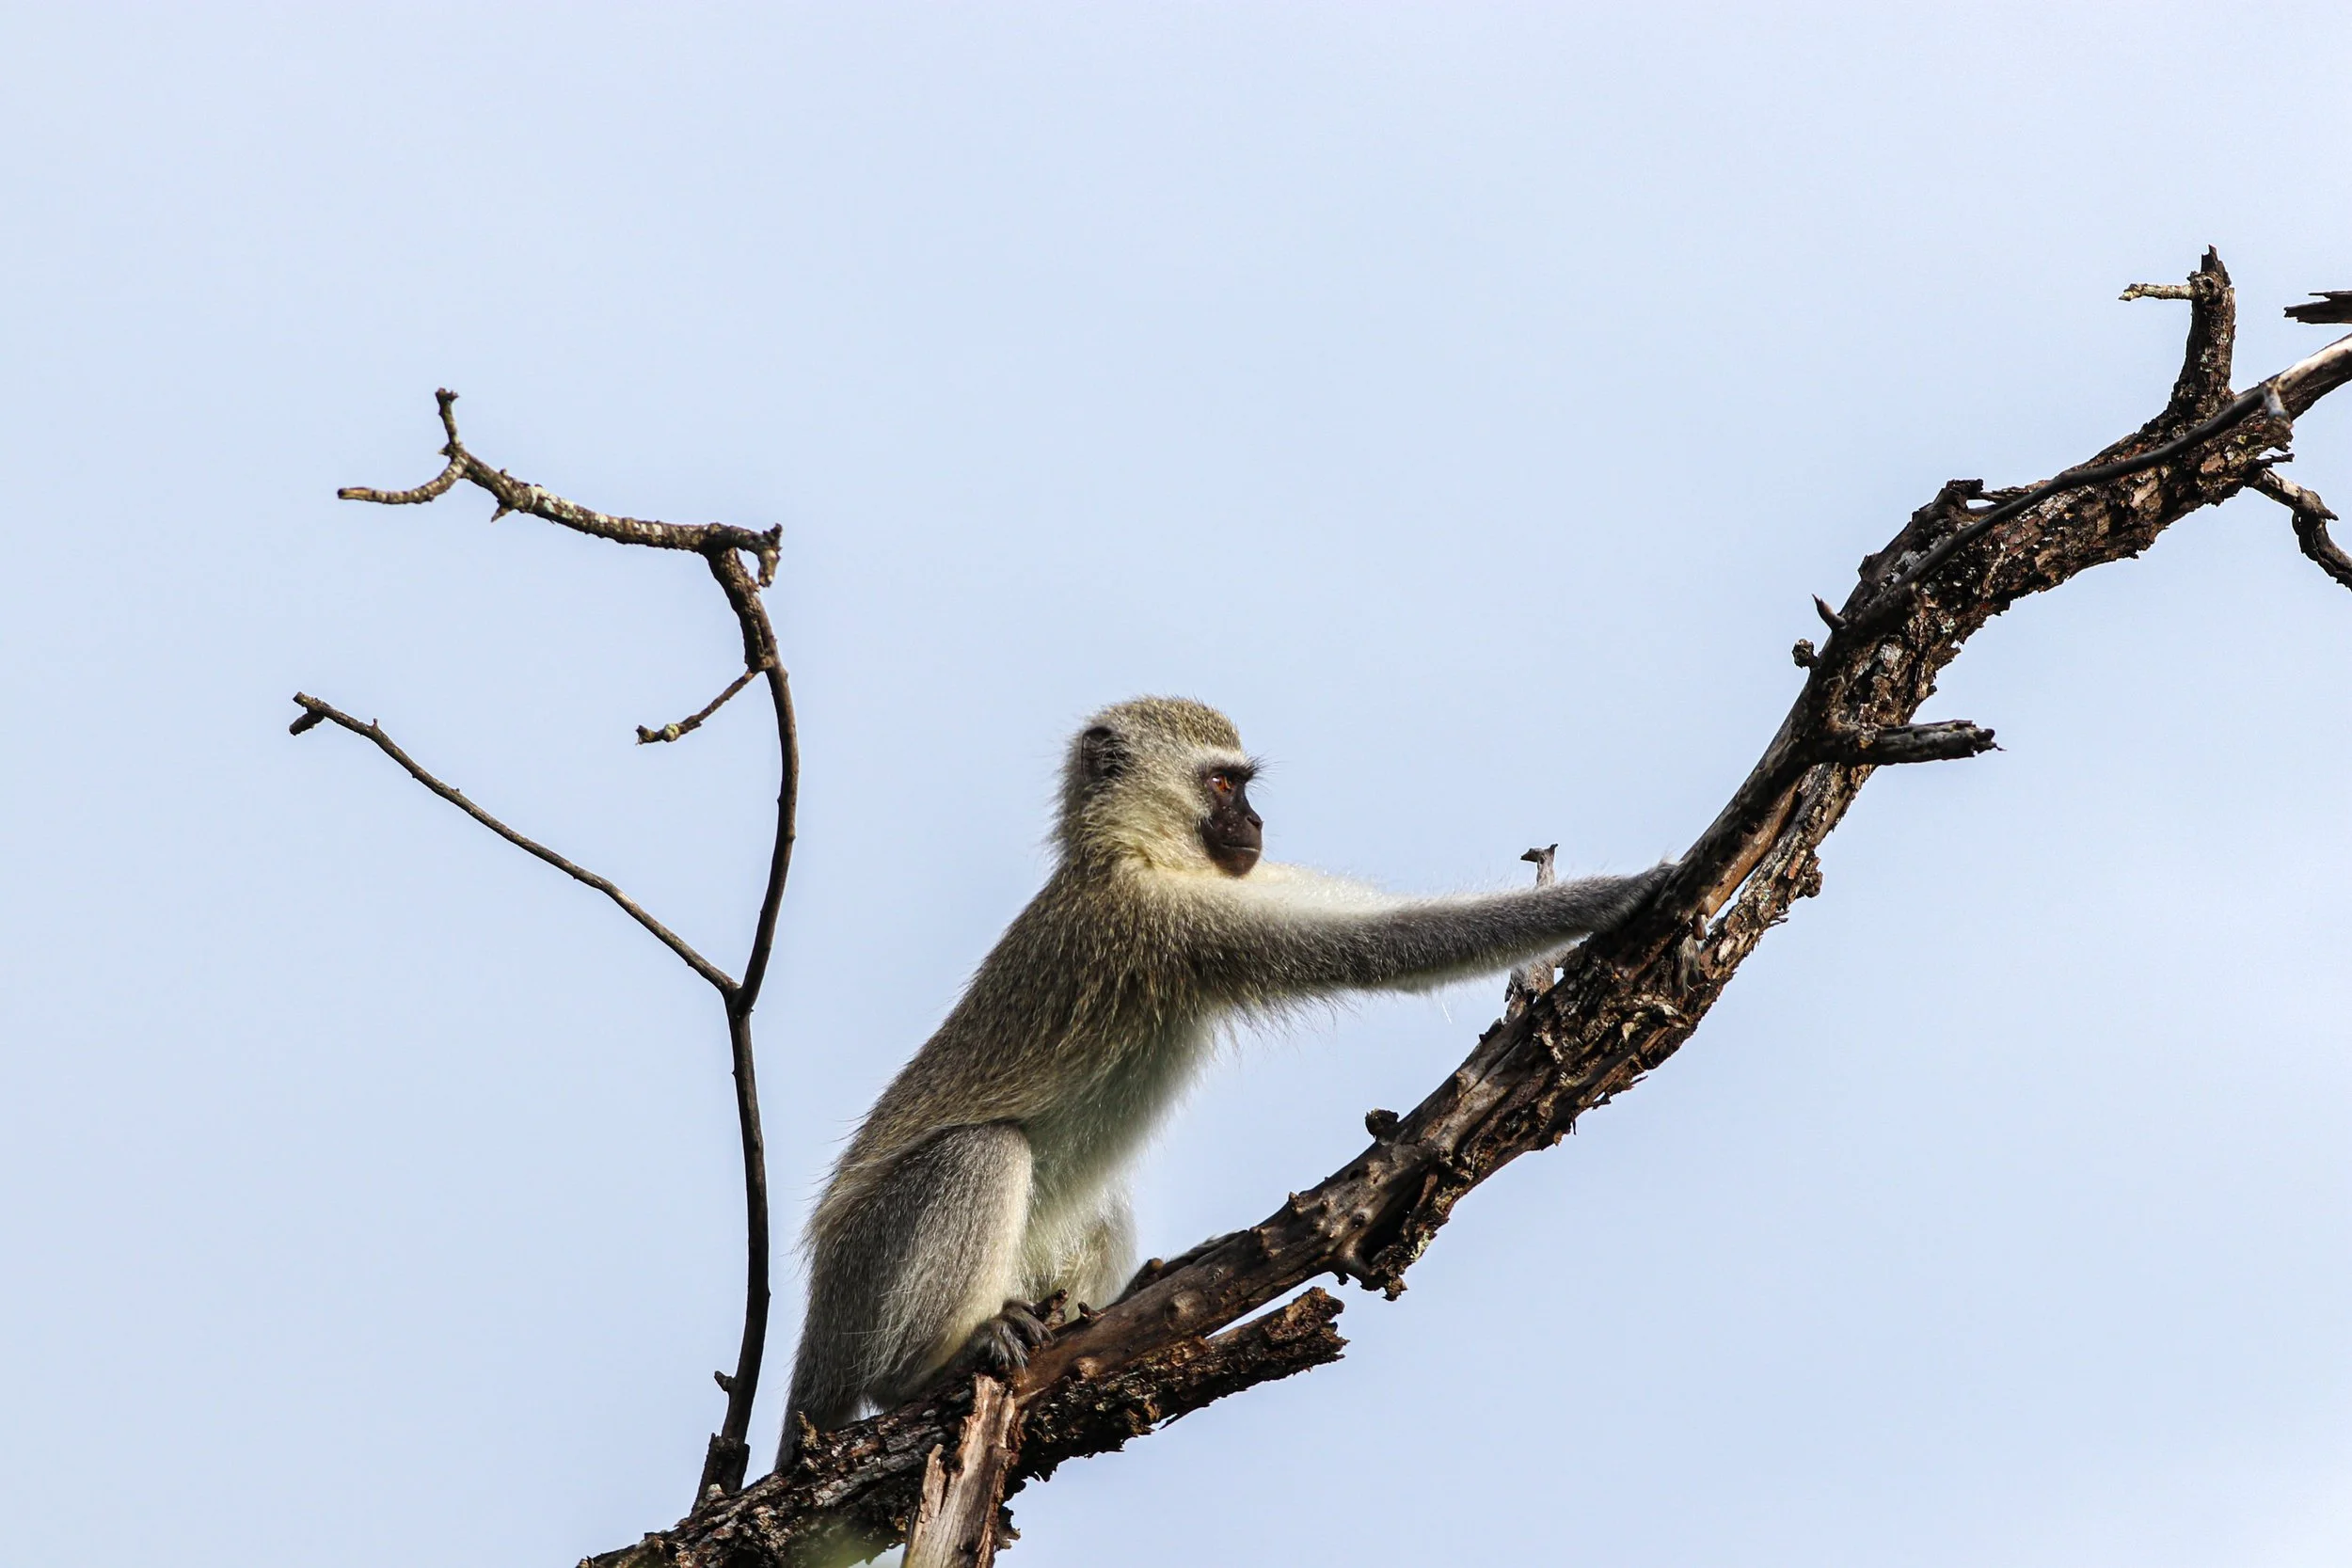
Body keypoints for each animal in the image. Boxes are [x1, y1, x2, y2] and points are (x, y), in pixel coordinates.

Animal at [777, 696, 1674, 1465]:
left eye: (1244, 787)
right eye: (1220, 784)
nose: (1256, 823)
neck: (1130, 851)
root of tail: (816, 1342)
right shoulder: (1165, 918)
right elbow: (1382, 945)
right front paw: (1626, 892)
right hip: (862, 1269)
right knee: (983, 1152)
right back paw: (928, 1366)